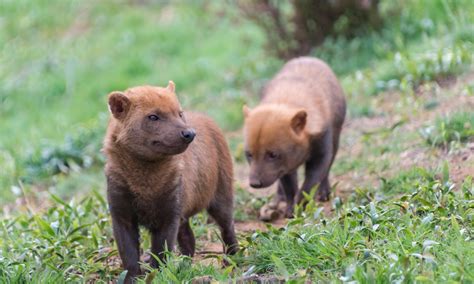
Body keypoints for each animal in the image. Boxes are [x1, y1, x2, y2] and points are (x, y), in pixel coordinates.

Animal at [103, 81, 237, 282]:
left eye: (179, 113)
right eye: (153, 116)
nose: (189, 133)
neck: (145, 186)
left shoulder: (170, 211)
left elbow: (161, 251)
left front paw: (157, 275)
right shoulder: (121, 213)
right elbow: (129, 255)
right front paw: (133, 279)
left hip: (221, 192)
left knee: (227, 225)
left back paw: (232, 260)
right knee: (189, 239)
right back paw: (185, 267)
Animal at [243, 56, 346, 219]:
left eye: (273, 154)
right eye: (248, 154)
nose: (255, 183)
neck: (287, 101)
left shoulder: (323, 145)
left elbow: (312, 180)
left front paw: (302, 206)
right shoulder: (285, 165)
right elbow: (289, 186)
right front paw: (290, 209)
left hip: (336, 136)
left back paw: (324, 193)